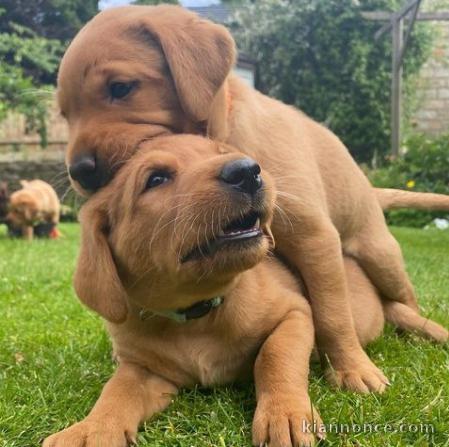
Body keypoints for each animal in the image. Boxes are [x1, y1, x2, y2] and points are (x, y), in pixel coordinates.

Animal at [43, 136, 446, 447]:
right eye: (156, 178)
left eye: (222, 152)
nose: (248, 171)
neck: (197, 311)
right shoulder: (143, 369)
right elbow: (116, 392)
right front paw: (91, 430)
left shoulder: (296, 313)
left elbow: (274, 356)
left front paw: (285, 415)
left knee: (408, 312)